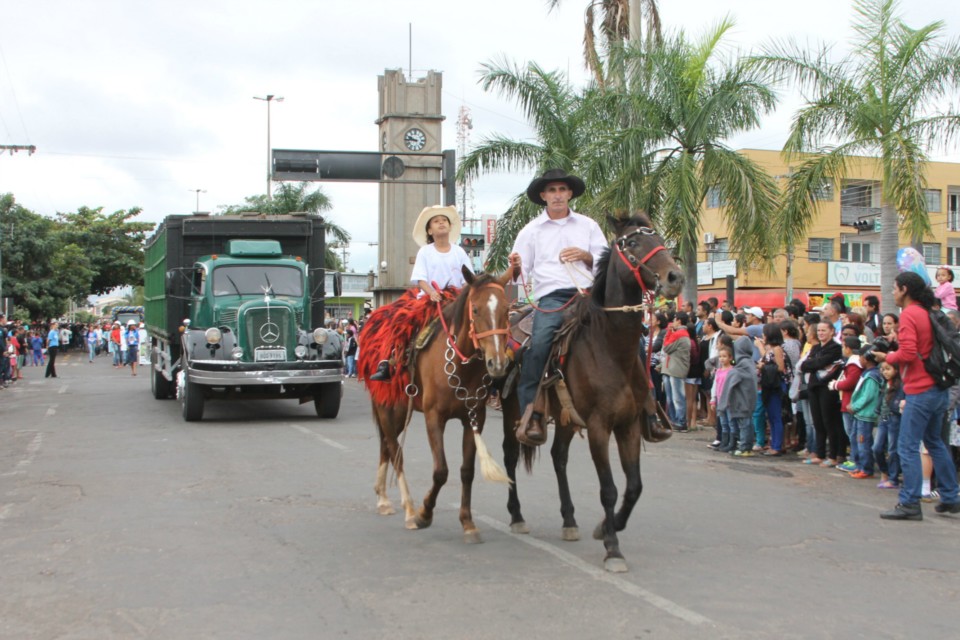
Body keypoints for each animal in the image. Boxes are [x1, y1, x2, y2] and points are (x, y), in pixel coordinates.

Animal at [362, 268, 512, 544]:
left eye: (507, 309)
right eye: (476, 309)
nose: (497, 364)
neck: (462, 366)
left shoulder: (474, 418)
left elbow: (467, 471)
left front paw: (468, 523)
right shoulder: (434, 417)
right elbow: (441, 470)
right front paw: (424, 514)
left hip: (398, 411)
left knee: (386, 447)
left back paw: (383, 499)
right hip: (388, 409)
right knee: (395, 451)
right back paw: (409, 510)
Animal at [498, 214, 688, 568]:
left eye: (659, 238)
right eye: (631, 242)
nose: (676, 277)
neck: (611, 348)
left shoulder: (628, 425)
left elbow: (634, 487)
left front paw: (607, 527)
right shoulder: (600, 426)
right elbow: (609, 488)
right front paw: (613, 547)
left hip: (566, 418)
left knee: (558, 457)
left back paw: (569, 520)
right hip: (512, 410)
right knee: (510, 455)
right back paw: (516, 516)